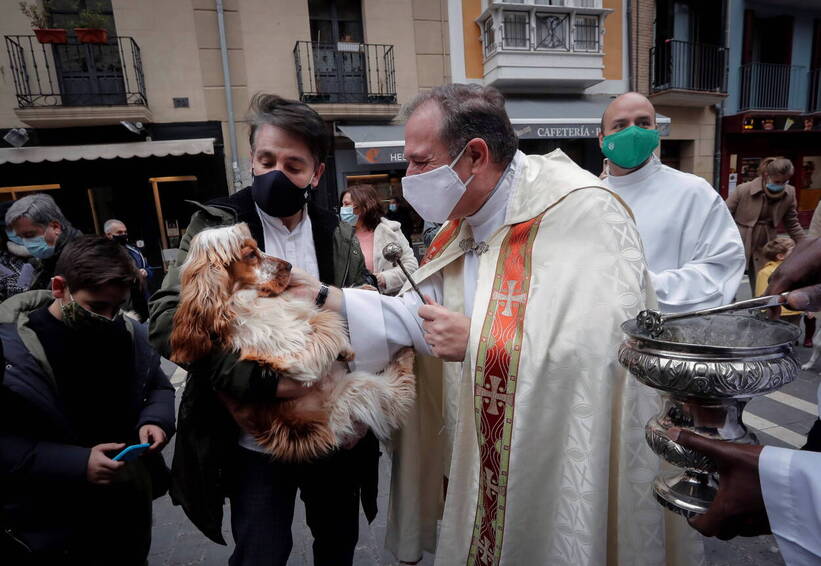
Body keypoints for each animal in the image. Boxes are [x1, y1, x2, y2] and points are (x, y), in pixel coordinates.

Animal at [173, 224, 416, 464]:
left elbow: (318, 311)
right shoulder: (296, 352)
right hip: (353, 391)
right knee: (397, 392)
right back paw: (405, 354)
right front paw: (343, 345)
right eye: (251, 255)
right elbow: (325, 323)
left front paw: (365, 289)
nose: (289, 266)